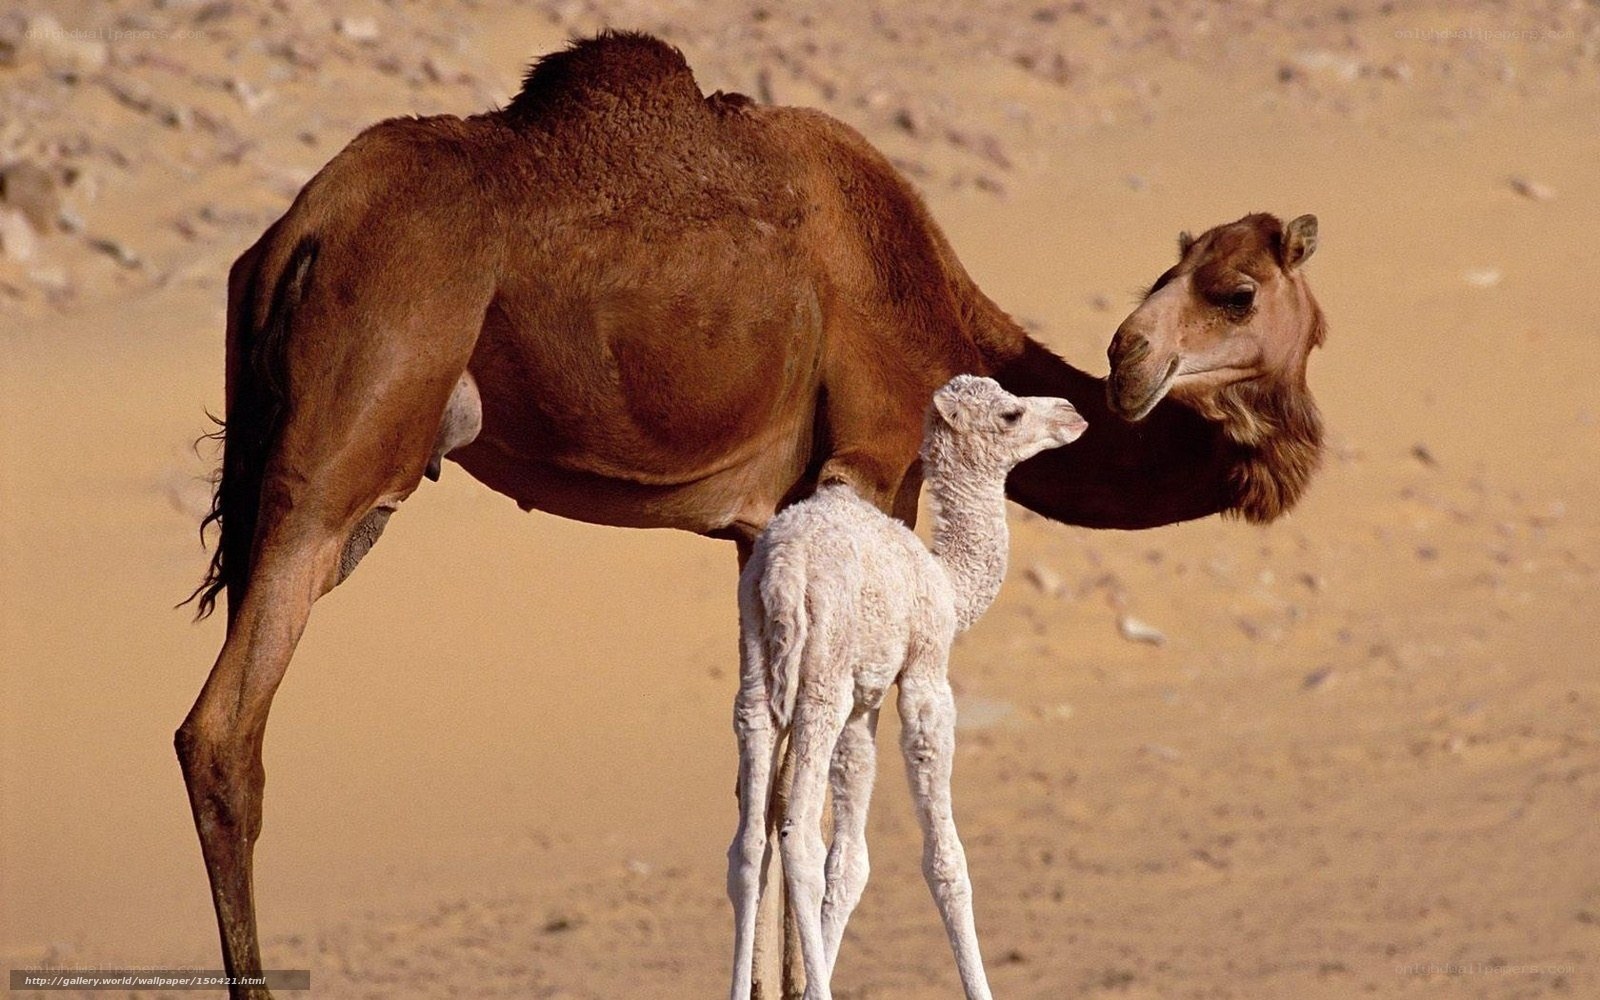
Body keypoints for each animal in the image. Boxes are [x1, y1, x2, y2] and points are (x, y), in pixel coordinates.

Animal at [731, 376, 1087, 1000]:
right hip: (820, 681)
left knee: (750, 842)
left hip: (758, 668)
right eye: (1010, 413)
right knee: (797, 837)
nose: (1071, 413)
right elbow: (946, 859)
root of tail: (785, 569)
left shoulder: (865, 701)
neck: (946, 581)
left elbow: (850, 861)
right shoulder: (924, 673)